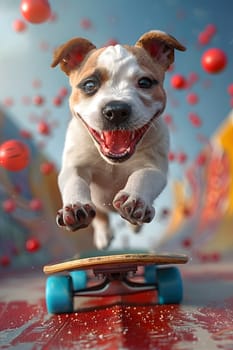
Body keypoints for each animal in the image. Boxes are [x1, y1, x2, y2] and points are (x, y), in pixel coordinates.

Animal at [51, 30, 186, 249]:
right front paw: (75, 205)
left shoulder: (153, 168)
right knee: (101, 216)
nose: (116, 110)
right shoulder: (75, 166)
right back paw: (103, 234)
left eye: (145, 83)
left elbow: (142, 176)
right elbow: (75, 182)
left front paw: (135, 200)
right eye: (89, 85)